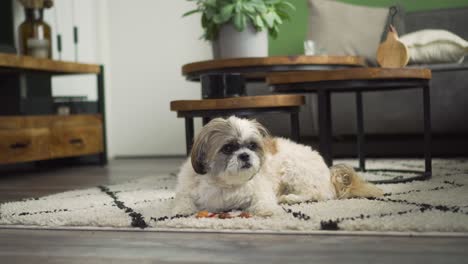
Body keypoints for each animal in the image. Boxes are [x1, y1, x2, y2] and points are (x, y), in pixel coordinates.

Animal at [173, 116, 384, 217]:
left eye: (252, 146)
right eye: (228, 148)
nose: (244, 155)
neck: (225, 183)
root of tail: (329, 173)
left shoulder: (260, 190)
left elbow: (264, 200)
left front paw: (267, 210)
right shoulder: (187, 188)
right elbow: (182, 200)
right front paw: (181, 210)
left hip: (294, 171)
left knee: (318, 194)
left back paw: (290, 198)